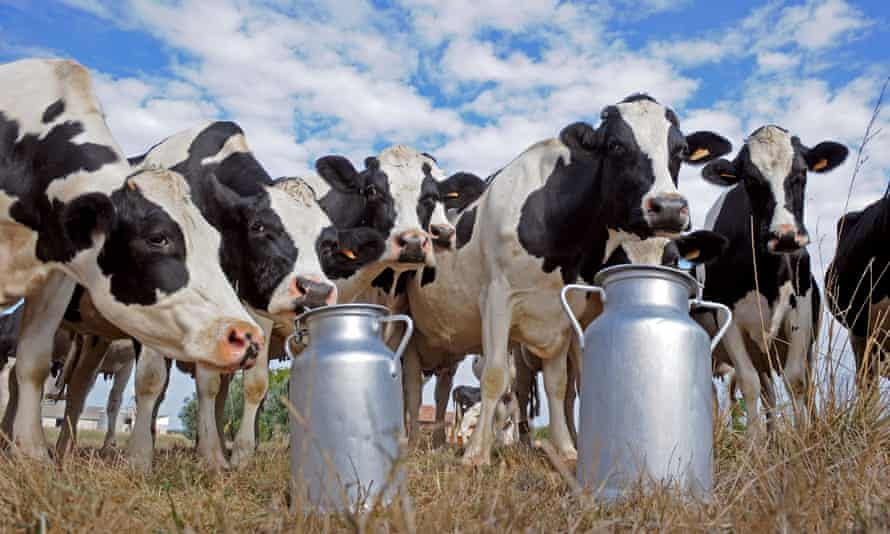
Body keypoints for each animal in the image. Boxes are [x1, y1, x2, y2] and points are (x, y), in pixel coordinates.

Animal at [0, 57, 260, 460]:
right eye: (158, 238)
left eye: (217, 243)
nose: (247, 336)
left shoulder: (58, 276)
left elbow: (34, 360)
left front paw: (32, 453)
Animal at [400, 95, 728, 464]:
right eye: (615, 145)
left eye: (680, 149)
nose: (669, 208)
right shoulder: (497, 299)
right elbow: (495, 375)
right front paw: (475, 454)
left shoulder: (562, 313)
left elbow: (559, 385)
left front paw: (566, 448)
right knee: (413, 388)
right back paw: (413, 443)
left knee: (439, 389)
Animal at [692, 125, 848, 436]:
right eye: (750, 179)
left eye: (801, 172)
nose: (785, 235)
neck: (767, 276)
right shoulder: (727, 317)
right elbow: (749, 383)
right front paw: (754, 442)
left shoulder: (800, 308)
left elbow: (795, 380)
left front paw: (801, 437)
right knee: (767, 393)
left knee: (805, 387)